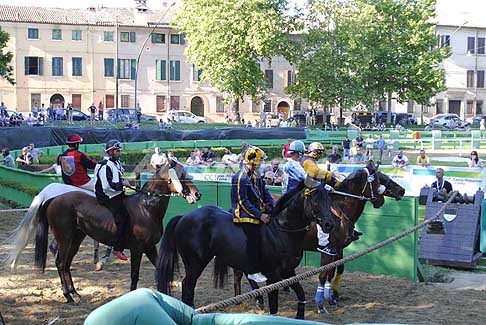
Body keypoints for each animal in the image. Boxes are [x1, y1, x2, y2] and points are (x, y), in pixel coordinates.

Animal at [3, 161, 201, 302]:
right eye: (182, 175)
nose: (197, 194)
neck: (146, 208)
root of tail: (53, 198)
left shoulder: (150, 247)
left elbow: (160, 268)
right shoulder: (138, 249)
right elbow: (134, 275)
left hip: (76, 239)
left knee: (66, 264)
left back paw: (75, 293)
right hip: (64, 238)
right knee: (60, 262)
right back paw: (68, 295)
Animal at [158, 180, 332, 318]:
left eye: (327, 199)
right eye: (316, 200)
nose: (329, 224)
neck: (281, 230)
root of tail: (183, 217)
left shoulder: (289, 272)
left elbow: (301, 293)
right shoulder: (273, 276)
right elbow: (274, 306)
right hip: (195, 264)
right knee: (187, 286)